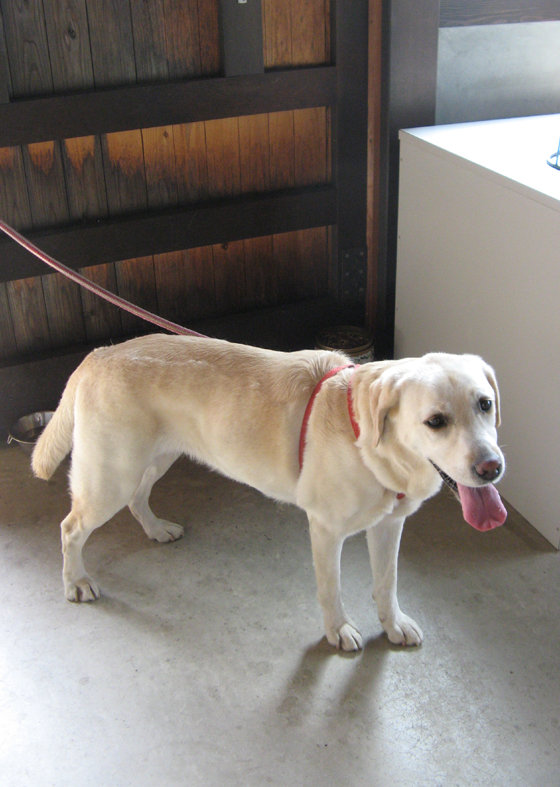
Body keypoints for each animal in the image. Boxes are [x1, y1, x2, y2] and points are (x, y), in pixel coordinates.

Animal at [32, 335, 506, 651]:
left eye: (485, 404)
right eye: (436, 421)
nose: (492, 468)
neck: (368, 441)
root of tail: (98, 354)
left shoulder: (389, 525)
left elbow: (387, 584)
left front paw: (394, 624)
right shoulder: (326, 530)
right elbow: (331, 588)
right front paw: (338, 630)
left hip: (153, 458)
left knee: (137, 497)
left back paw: (155, 529)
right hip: (111, 476)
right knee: (70, 528)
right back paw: (75, 581)